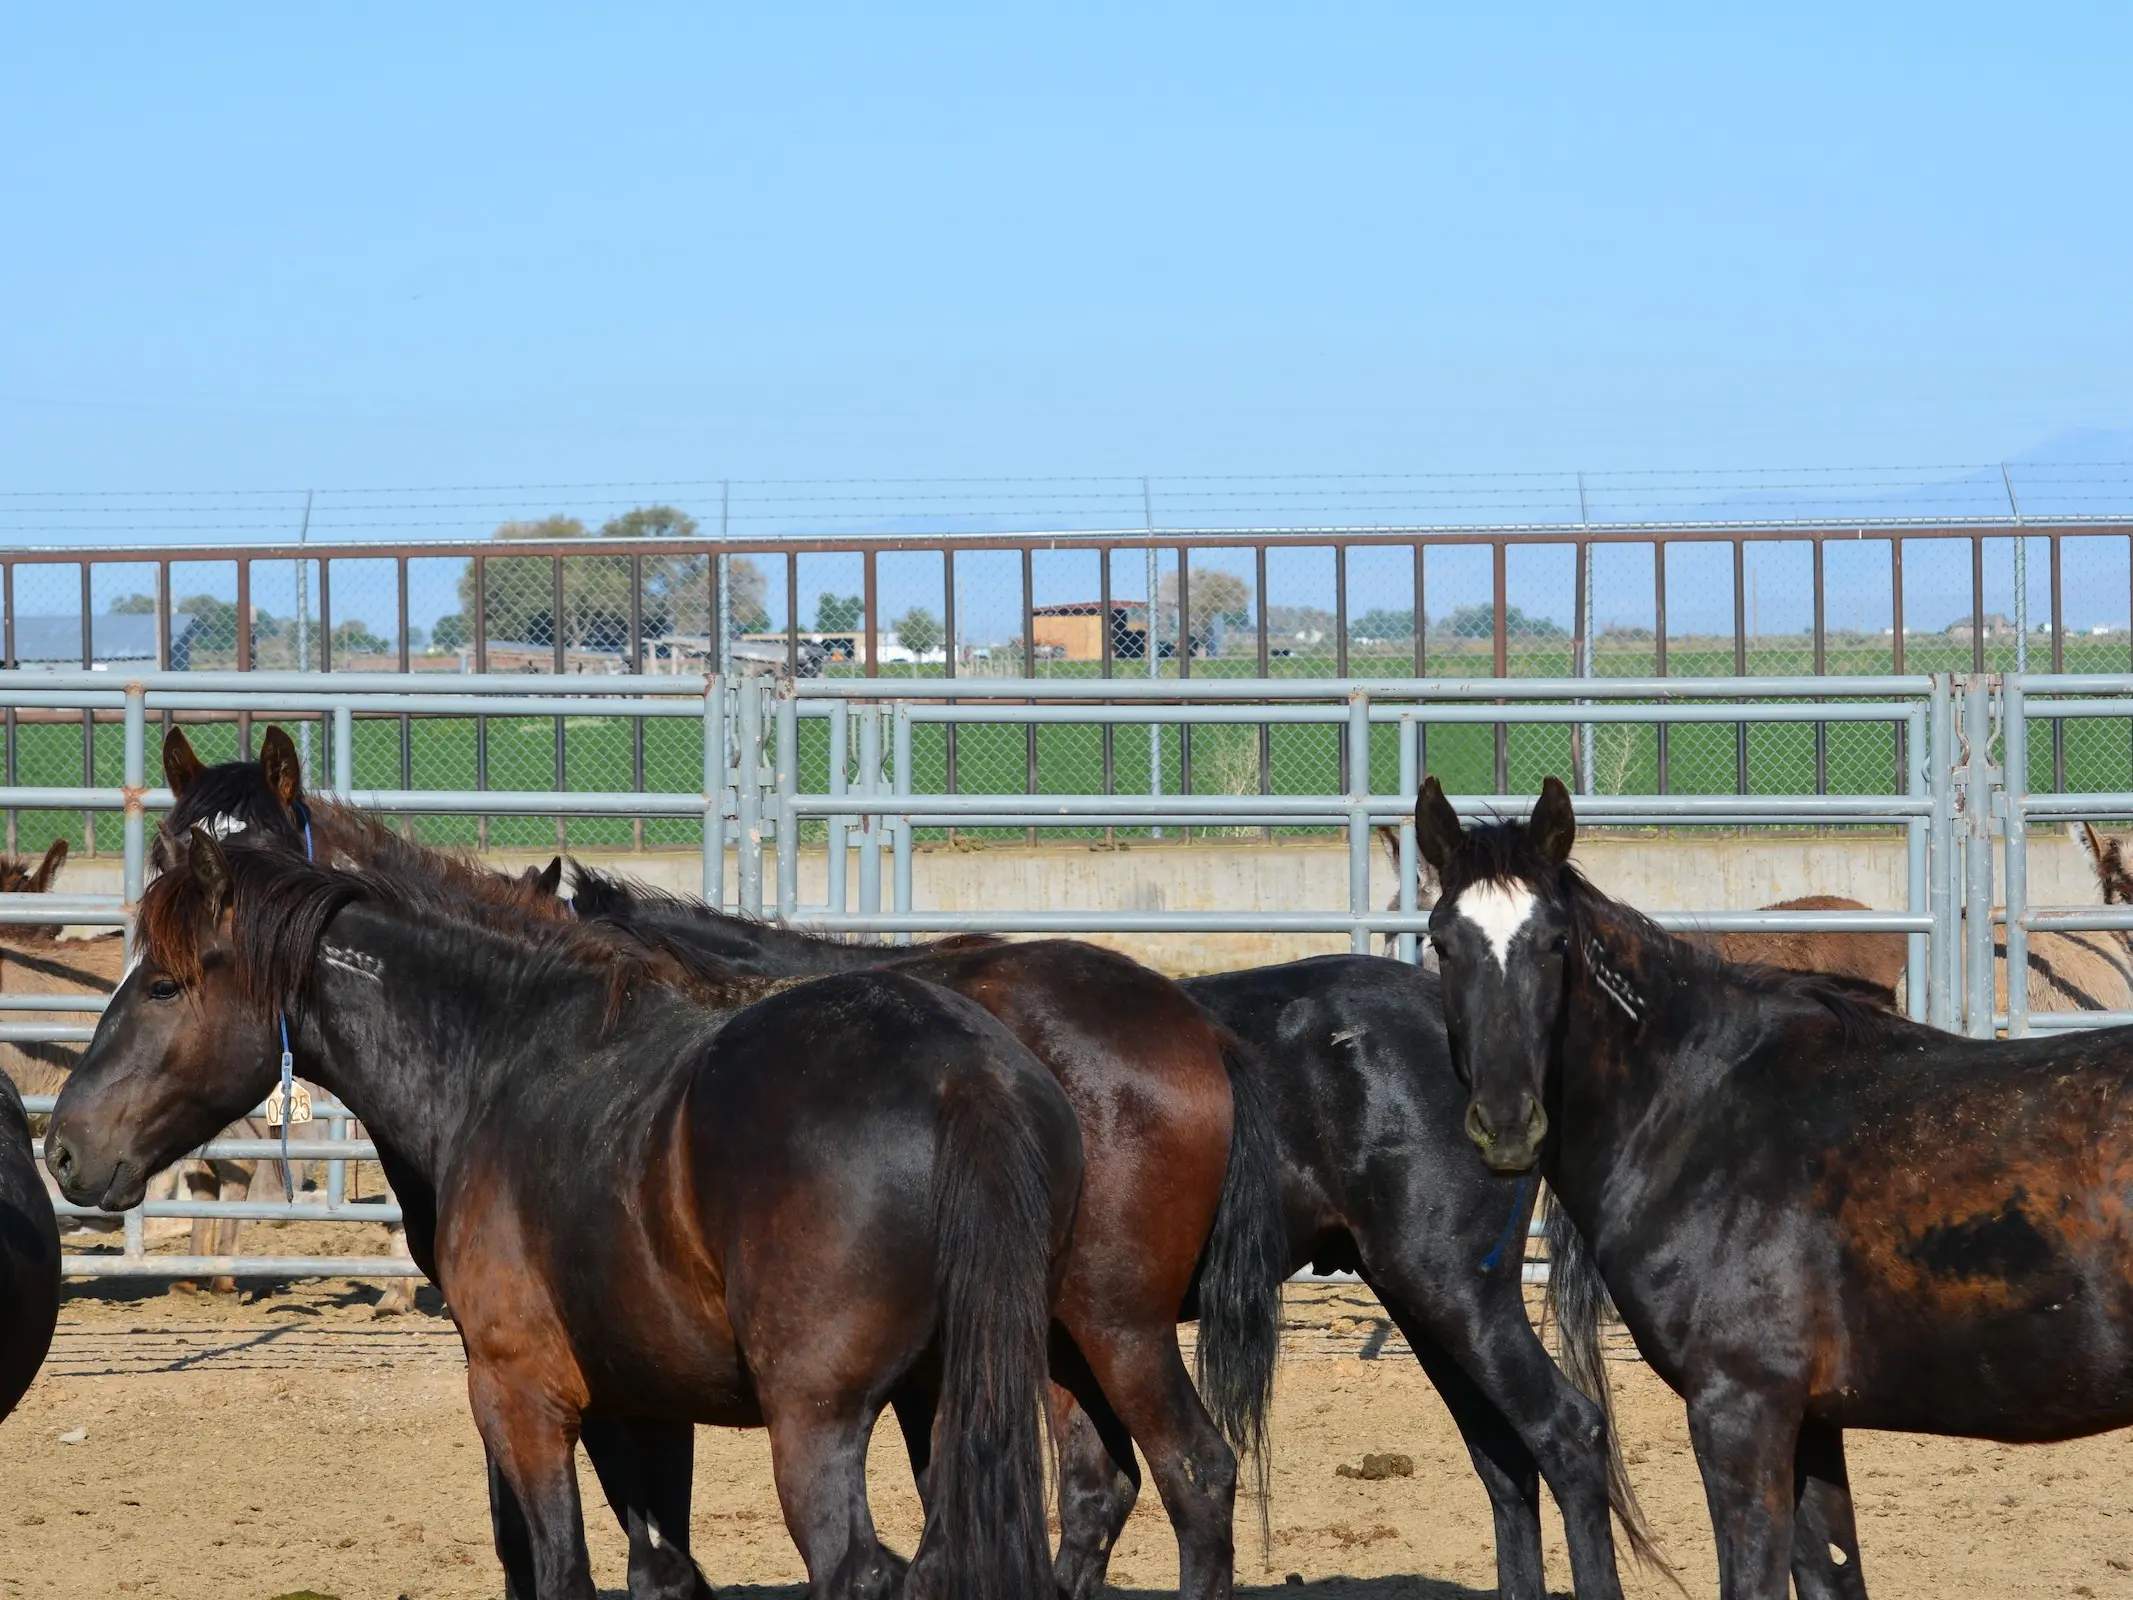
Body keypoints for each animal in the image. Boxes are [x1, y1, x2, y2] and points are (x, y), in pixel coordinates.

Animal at [45, 840, 1083, 1600]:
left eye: (164, 984)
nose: (62, 1145)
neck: (503, 1058)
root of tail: (965, 1075)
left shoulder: (520, 1395)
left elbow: (558, 1569)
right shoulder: (642, 1403)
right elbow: (663, 1571)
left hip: (817, 1427)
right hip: (947, 1402)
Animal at [1416, 776, 2133, 1600]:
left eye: (1555, 942)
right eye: (1441, 942)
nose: (1505, 1123)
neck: (1705, 1108)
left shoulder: (1741, 1410)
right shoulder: (1813, 1422)